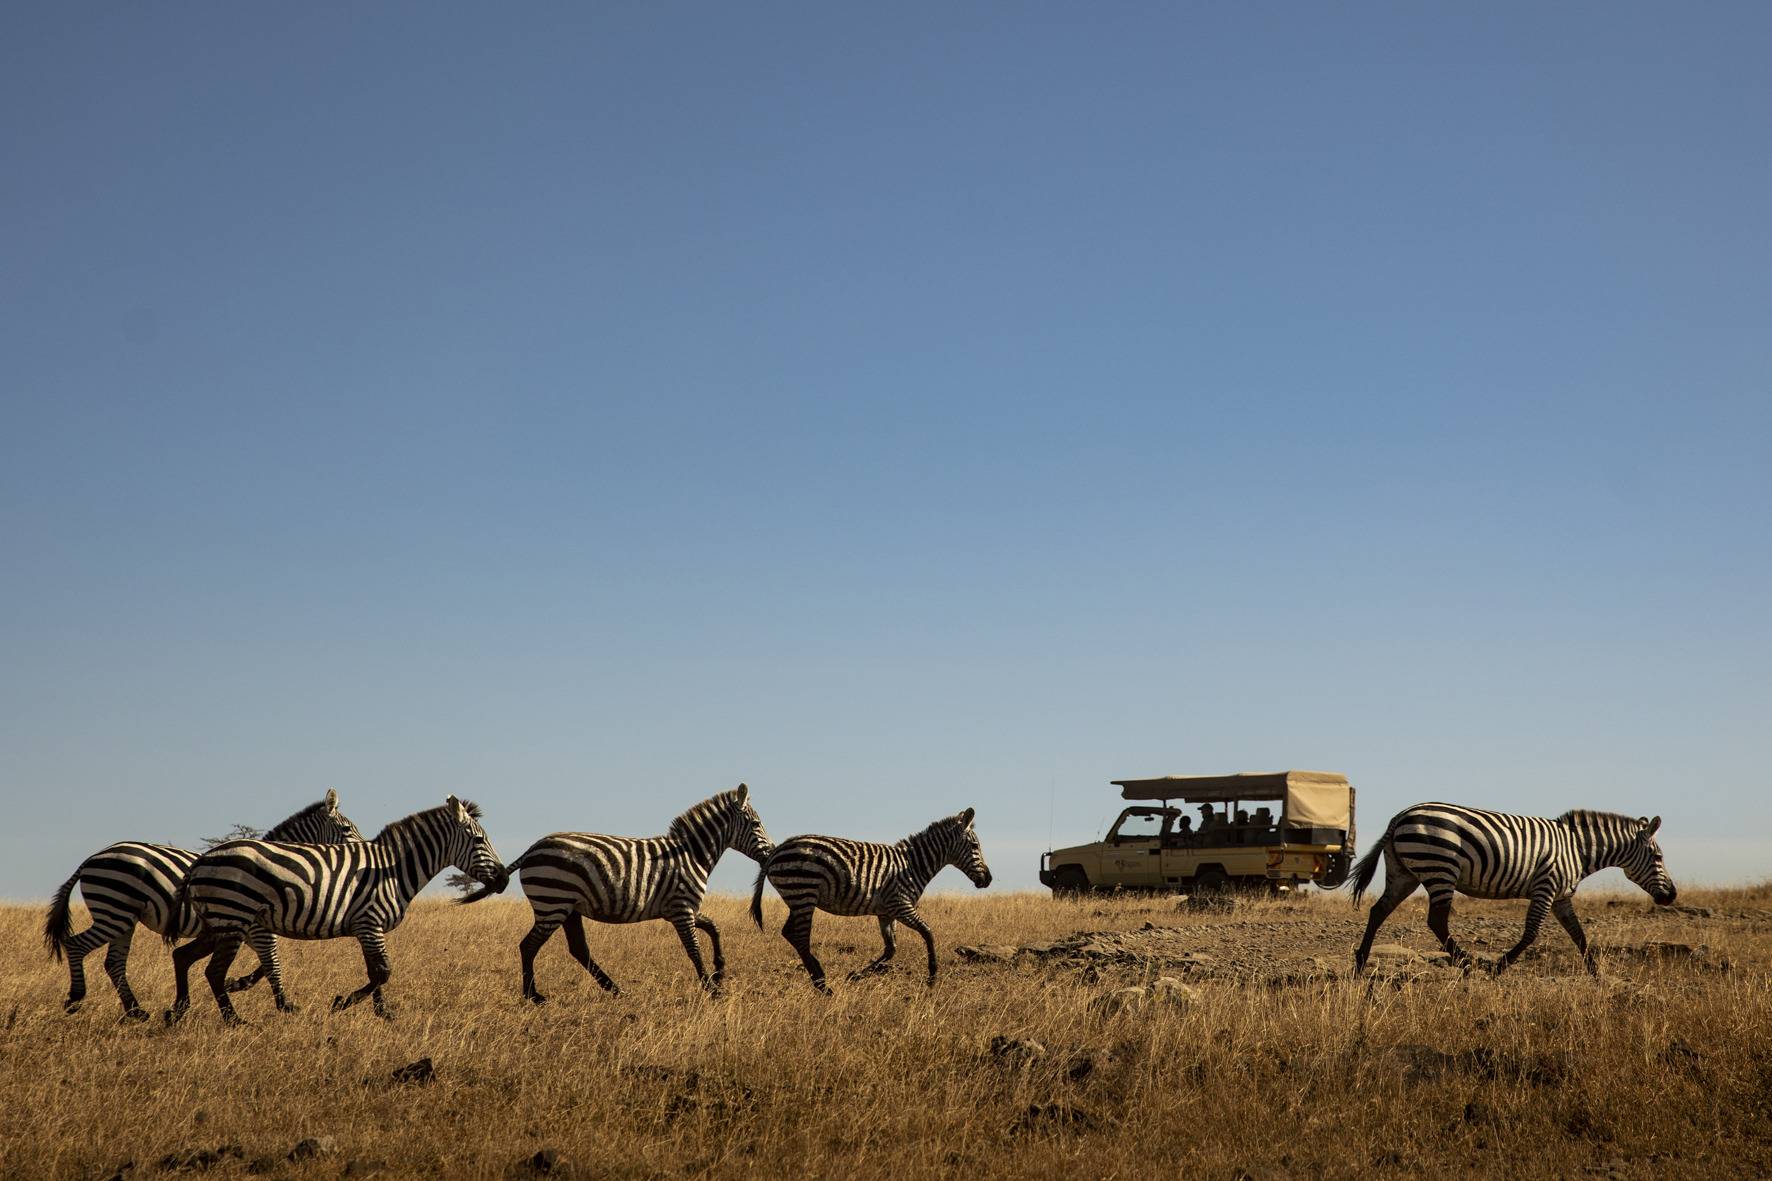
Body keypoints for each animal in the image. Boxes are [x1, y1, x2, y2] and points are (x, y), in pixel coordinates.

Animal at [41, 791, 364, 1021]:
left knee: (114, 963)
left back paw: (137, 1011)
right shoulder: (257, 928)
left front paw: (238, 983)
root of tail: (92, 858)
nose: (365, 849)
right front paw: (284, 1005)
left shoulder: (248, 928)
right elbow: (271, 962)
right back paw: (76, 999)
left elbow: (264, 964)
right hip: (114, 912)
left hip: (124, 917)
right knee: (77, 945)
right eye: (348, 829)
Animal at [165, 795, 506, 1025]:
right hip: (234, 919)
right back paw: (234, 1020)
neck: (394, 870)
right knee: (214, 971)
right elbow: (382, 971)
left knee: (182, 956)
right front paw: (343, 1003)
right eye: (479, 840)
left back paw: (177, 1011)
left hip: (217, 923)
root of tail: (203, 858)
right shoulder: (370, 922)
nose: (503, 879)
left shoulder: (369, 927)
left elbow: (376, 971)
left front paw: (383, 1012)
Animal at [461, 784, 772, 1001]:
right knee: (529, 945)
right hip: (553, 903)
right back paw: (532, 995)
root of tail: (532, 848)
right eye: (757, 824)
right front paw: (711, 987)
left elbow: (715, 928)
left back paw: (613, 989)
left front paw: (720, 971)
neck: (691, 854)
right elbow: (694, 949)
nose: (771, 854)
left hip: (568, 908)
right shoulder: (682, 908)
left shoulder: (682, 908)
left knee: (578, 949)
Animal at [749, 807, 991, 993]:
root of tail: (777, 850)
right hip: (804, 894)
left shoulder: (887, 913)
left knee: (789, 933)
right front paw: (932, 976)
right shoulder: (901, 905)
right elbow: (928, 932)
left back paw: (820, 975)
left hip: (797, 899)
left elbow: (891, 949)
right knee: (800, 938)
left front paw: (856, 975)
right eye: (975, 847)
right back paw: (823, 986)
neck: (913, 865)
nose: (988, 880)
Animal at [1350, 802, 1677, 975]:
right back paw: (1466, 962)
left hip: (1403, 873)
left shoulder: (1561, 897)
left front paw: (1596, 972)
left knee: (1378, 910)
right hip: (1441, 868)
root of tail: (1400, 815)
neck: (1577, 850)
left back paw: (1361, 961)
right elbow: (1531, 933)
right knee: (1437, 921)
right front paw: (1499, 967)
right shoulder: (1546, 886)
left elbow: (1579, 935)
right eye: (1659, 858)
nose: (1672, 895)